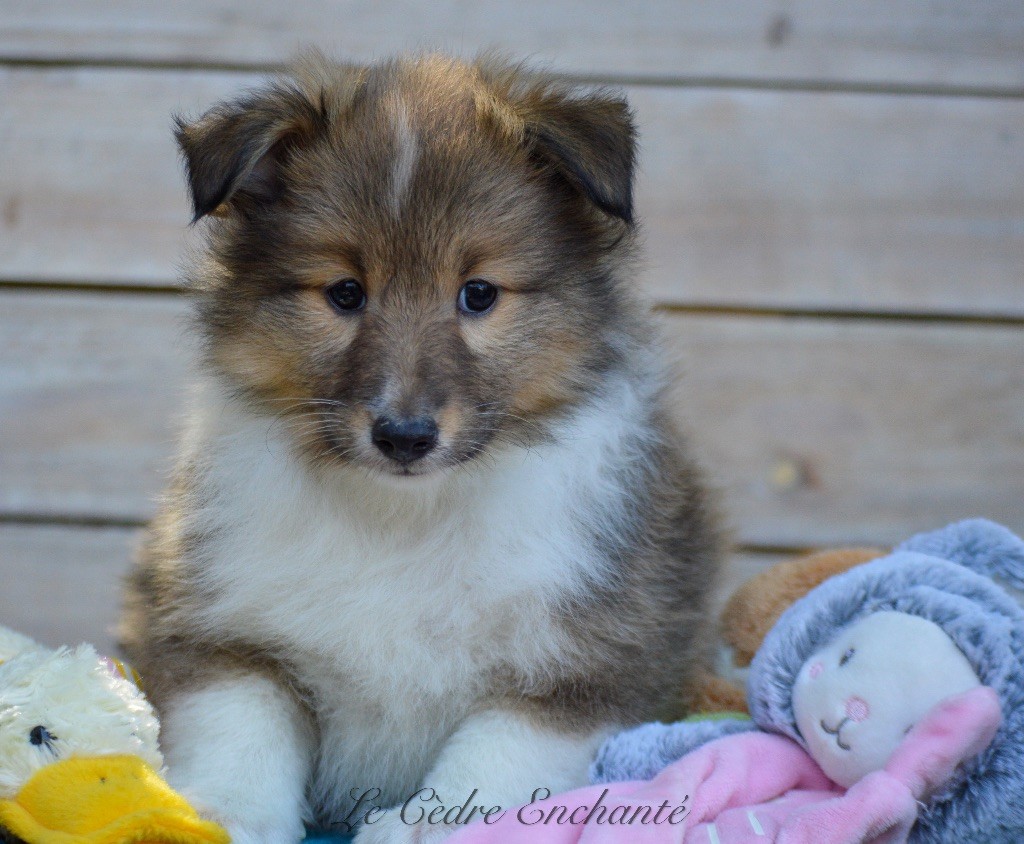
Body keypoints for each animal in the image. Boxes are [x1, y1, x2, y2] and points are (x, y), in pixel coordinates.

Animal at [121, 54, 720, 844]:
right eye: (345, 292)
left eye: (478, 293)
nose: (403, 436)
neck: (404, 518)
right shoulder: (218, 624)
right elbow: (240, 731)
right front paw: (219, 816)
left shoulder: (595, 657)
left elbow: (495, 758)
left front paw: (421, 826)